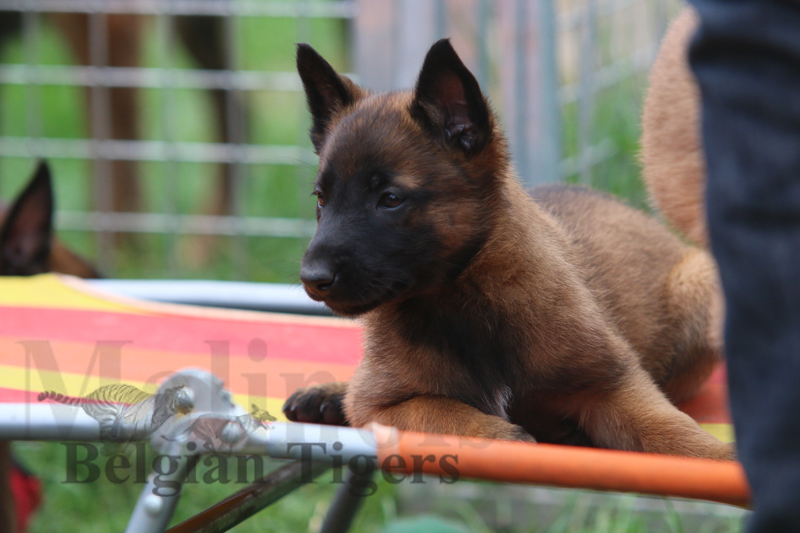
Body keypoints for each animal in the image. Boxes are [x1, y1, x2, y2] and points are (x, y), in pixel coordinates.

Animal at [282, 38, 733, 461]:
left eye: (390, 199)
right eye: (321, 199)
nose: (312, 279)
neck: (464, 301)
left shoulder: (617, 386)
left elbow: (678, 434)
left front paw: (724, 458)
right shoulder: (380, 405)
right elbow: (444, 411)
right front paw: (504, 433)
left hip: (698, 286)